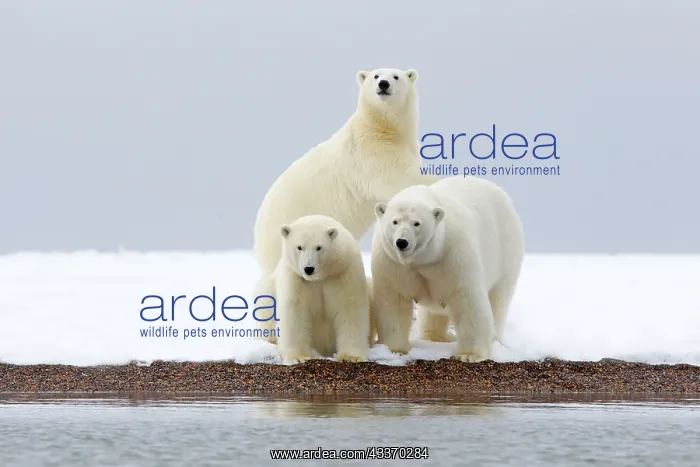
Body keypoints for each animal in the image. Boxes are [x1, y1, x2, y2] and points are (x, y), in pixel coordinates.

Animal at [252, 67, 438, 334]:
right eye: (376, 75)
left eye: (396, 76)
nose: (383, 84)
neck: (381, 128)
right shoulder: (371, 154)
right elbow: (400, 178)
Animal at [259, 214, 372, 365]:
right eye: (299, 247)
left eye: (319, 247)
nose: (308, 268)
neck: (321, 277)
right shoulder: (296, 278)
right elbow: (295, 311)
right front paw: (299, 357)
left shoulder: (344, 272)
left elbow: (350, 308)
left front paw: (351, 356)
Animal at [370, 176, 525, 362]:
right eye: (395, 221)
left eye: (416, 223)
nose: (402, 242)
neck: (424, 258)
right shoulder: (391, 261)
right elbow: (393, 300)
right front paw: (394, 349)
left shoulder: (454, 254)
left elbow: (468, 299)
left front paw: (469, 355)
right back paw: (434, 337)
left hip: (506, 251)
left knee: (499, 298)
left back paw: (495, 338)